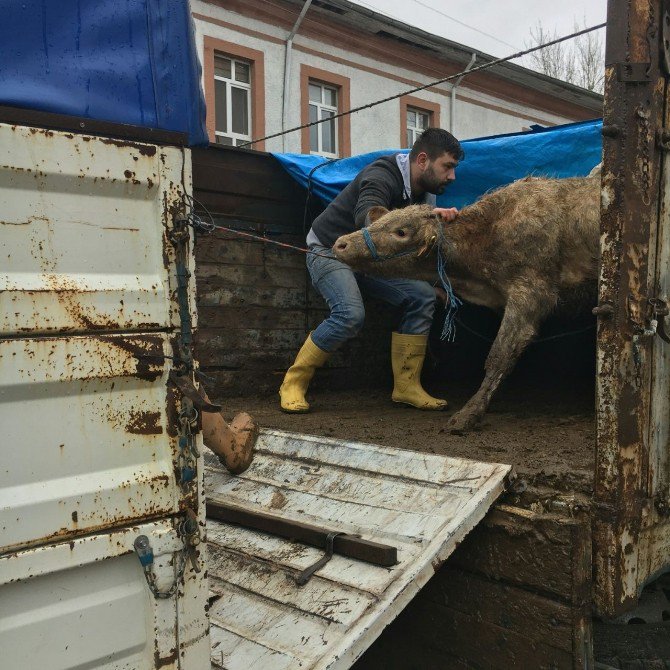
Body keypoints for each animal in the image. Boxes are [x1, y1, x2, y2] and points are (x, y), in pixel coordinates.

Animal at [334, 173, 600, 436]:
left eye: (401, 232)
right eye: (376, 223)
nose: (341, 244)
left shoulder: (531, 292)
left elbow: (499, 355)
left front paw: (467, 415)